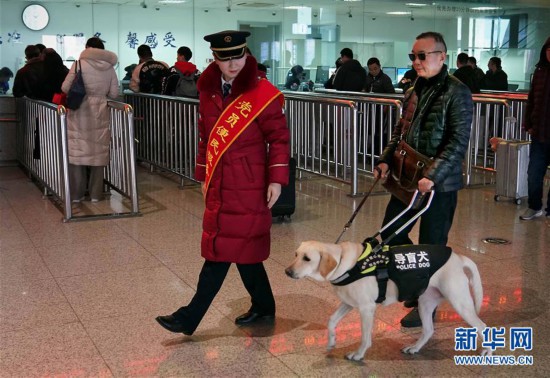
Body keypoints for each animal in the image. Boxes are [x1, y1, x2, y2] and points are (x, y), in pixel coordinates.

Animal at [284, 192, 492, 360]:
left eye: (307, 259)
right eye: (295, 254)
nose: (287, 272)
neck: (345, 261)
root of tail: (458, 257)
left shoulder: (366, 308)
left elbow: (365, 337)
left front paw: (359, 354)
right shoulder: (349, 303)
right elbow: (331, 320)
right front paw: (331, 341)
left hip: (460, 302)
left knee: (483, 327)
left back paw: (487, 352)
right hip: (426, 302)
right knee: (428, 330)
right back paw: (414, 348)